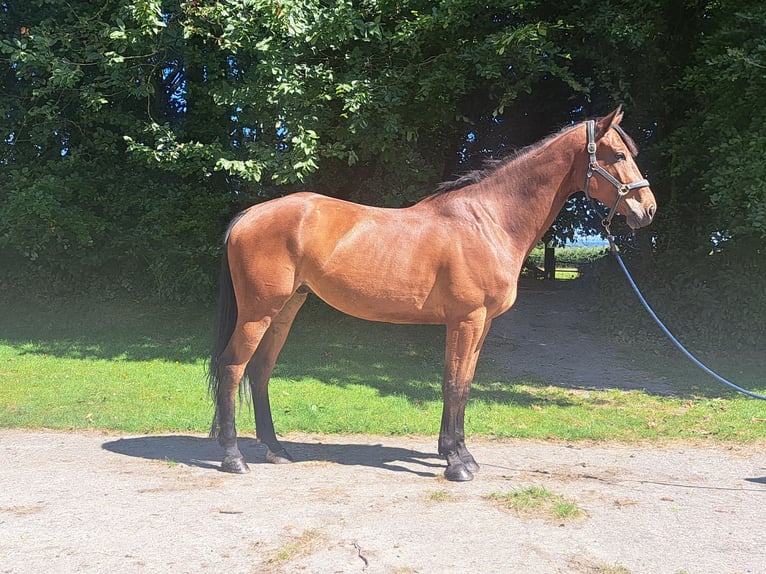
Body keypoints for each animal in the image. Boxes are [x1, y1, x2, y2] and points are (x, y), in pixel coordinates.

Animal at [208, 106, 656, 481]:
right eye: (618, 155)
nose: (647, 209)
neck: (488, 221)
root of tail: (249, 215)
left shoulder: (480, 324)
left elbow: (464, 382)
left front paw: (459, 453)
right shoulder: (466, 320)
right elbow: (453, 384)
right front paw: (457, 465)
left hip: (286, 308)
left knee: (260, 370)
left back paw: (276, 449)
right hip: (258, 312)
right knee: (232, 368)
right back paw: (233, 458)